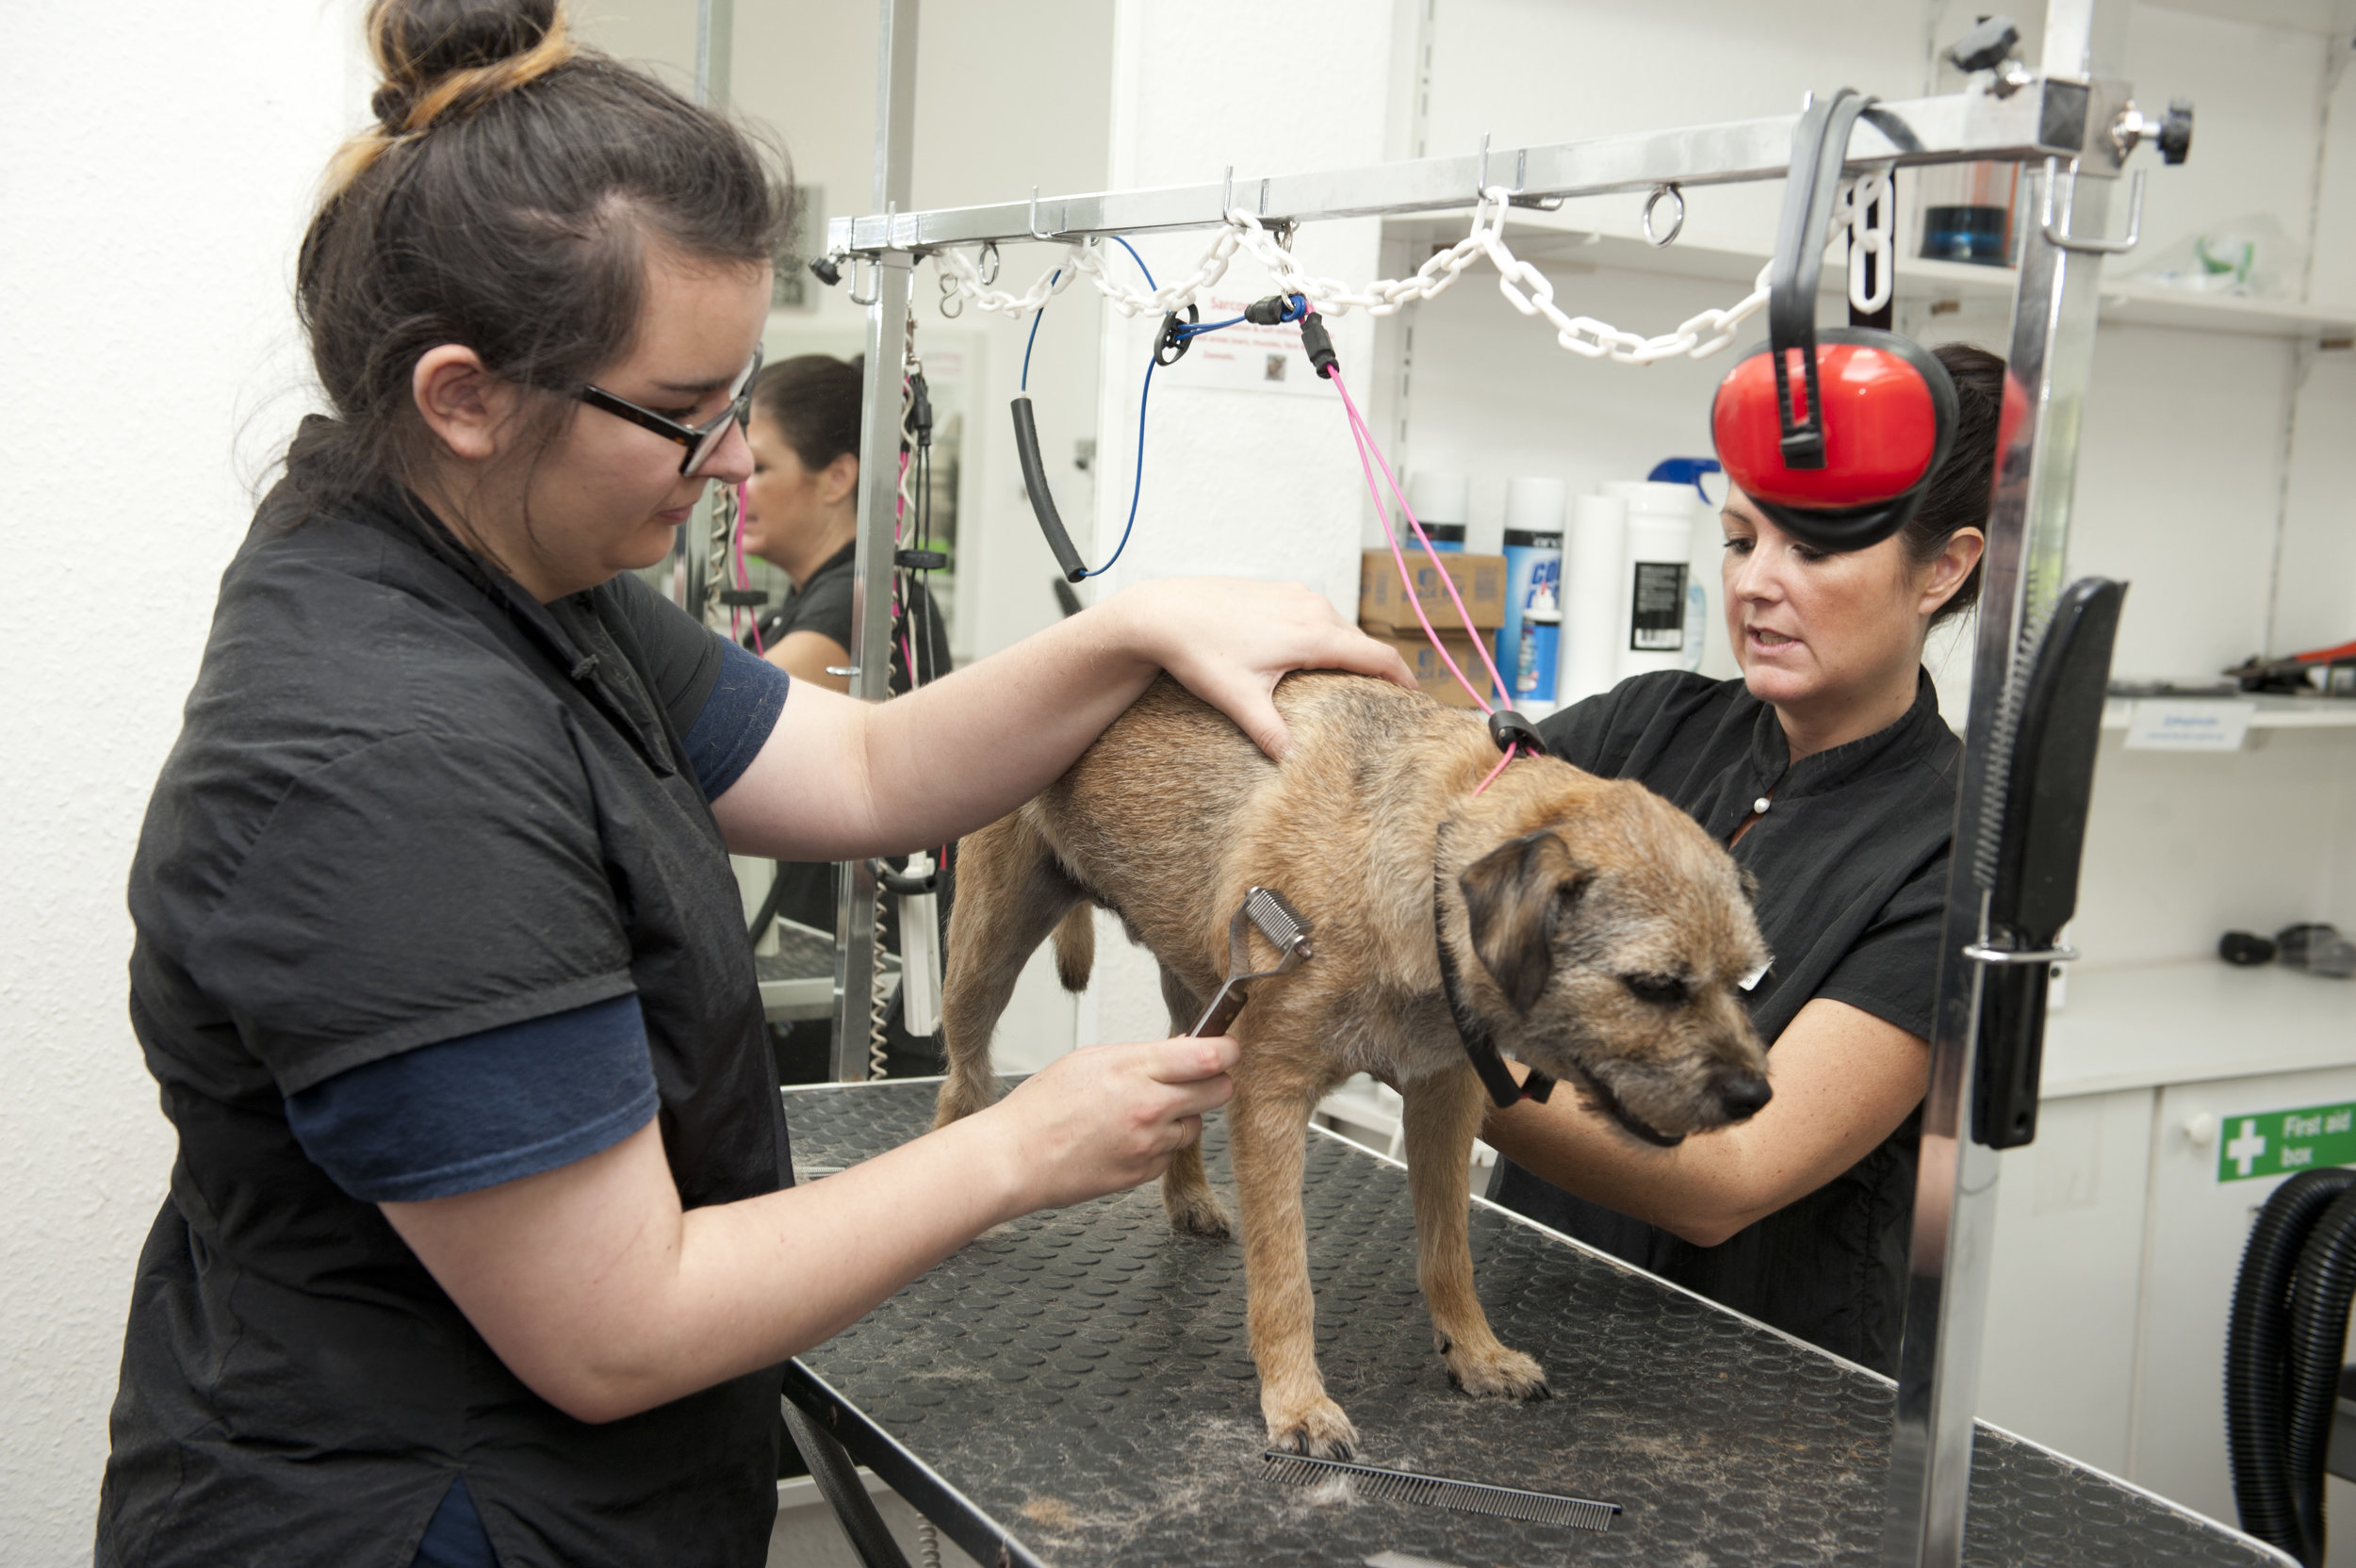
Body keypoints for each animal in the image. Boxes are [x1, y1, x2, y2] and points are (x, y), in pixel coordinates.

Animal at [928, 668, 1772, 1450]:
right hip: (986, 955)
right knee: (962, 1080)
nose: (1754, 1096)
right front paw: (1297, 1400)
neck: (1430, 850)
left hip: (1198, 988)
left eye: (1743, 979)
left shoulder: (1442, 1099)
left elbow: (1448, 1248)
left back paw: (1189, 1195)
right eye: (1654, 986)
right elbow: (1285, 1274)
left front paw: (1475, 1351)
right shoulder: (1270, 1093)